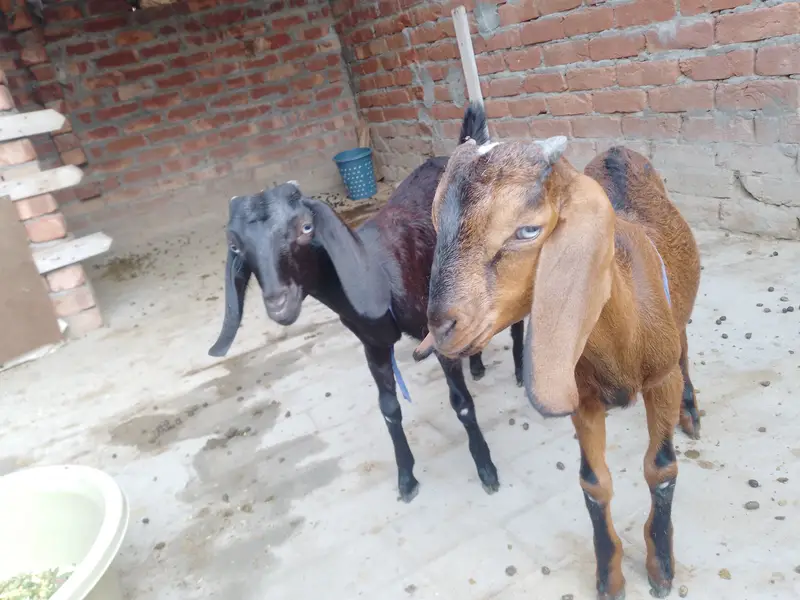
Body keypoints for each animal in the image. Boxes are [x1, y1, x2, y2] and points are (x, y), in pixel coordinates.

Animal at [207, 111, 525, 503]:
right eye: (236, 246)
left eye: (306, 227)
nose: (279, 303)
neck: (381, 272)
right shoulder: (373, 346)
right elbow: (389, 410)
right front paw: (406, 479)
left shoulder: (435, 332)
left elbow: (461, 403)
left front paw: (487, 470)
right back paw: (478, 365)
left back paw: (520, 372)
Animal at [415, 103, 701, 599]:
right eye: (435, 223)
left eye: (527, 230)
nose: (442, 325)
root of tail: (617, 149)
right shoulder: (582, 398)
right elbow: (593, 483)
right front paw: (608, 576)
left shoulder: (660, 380)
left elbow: (661, 469)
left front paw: (662, 566)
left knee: (684, 346)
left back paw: (692, 412)